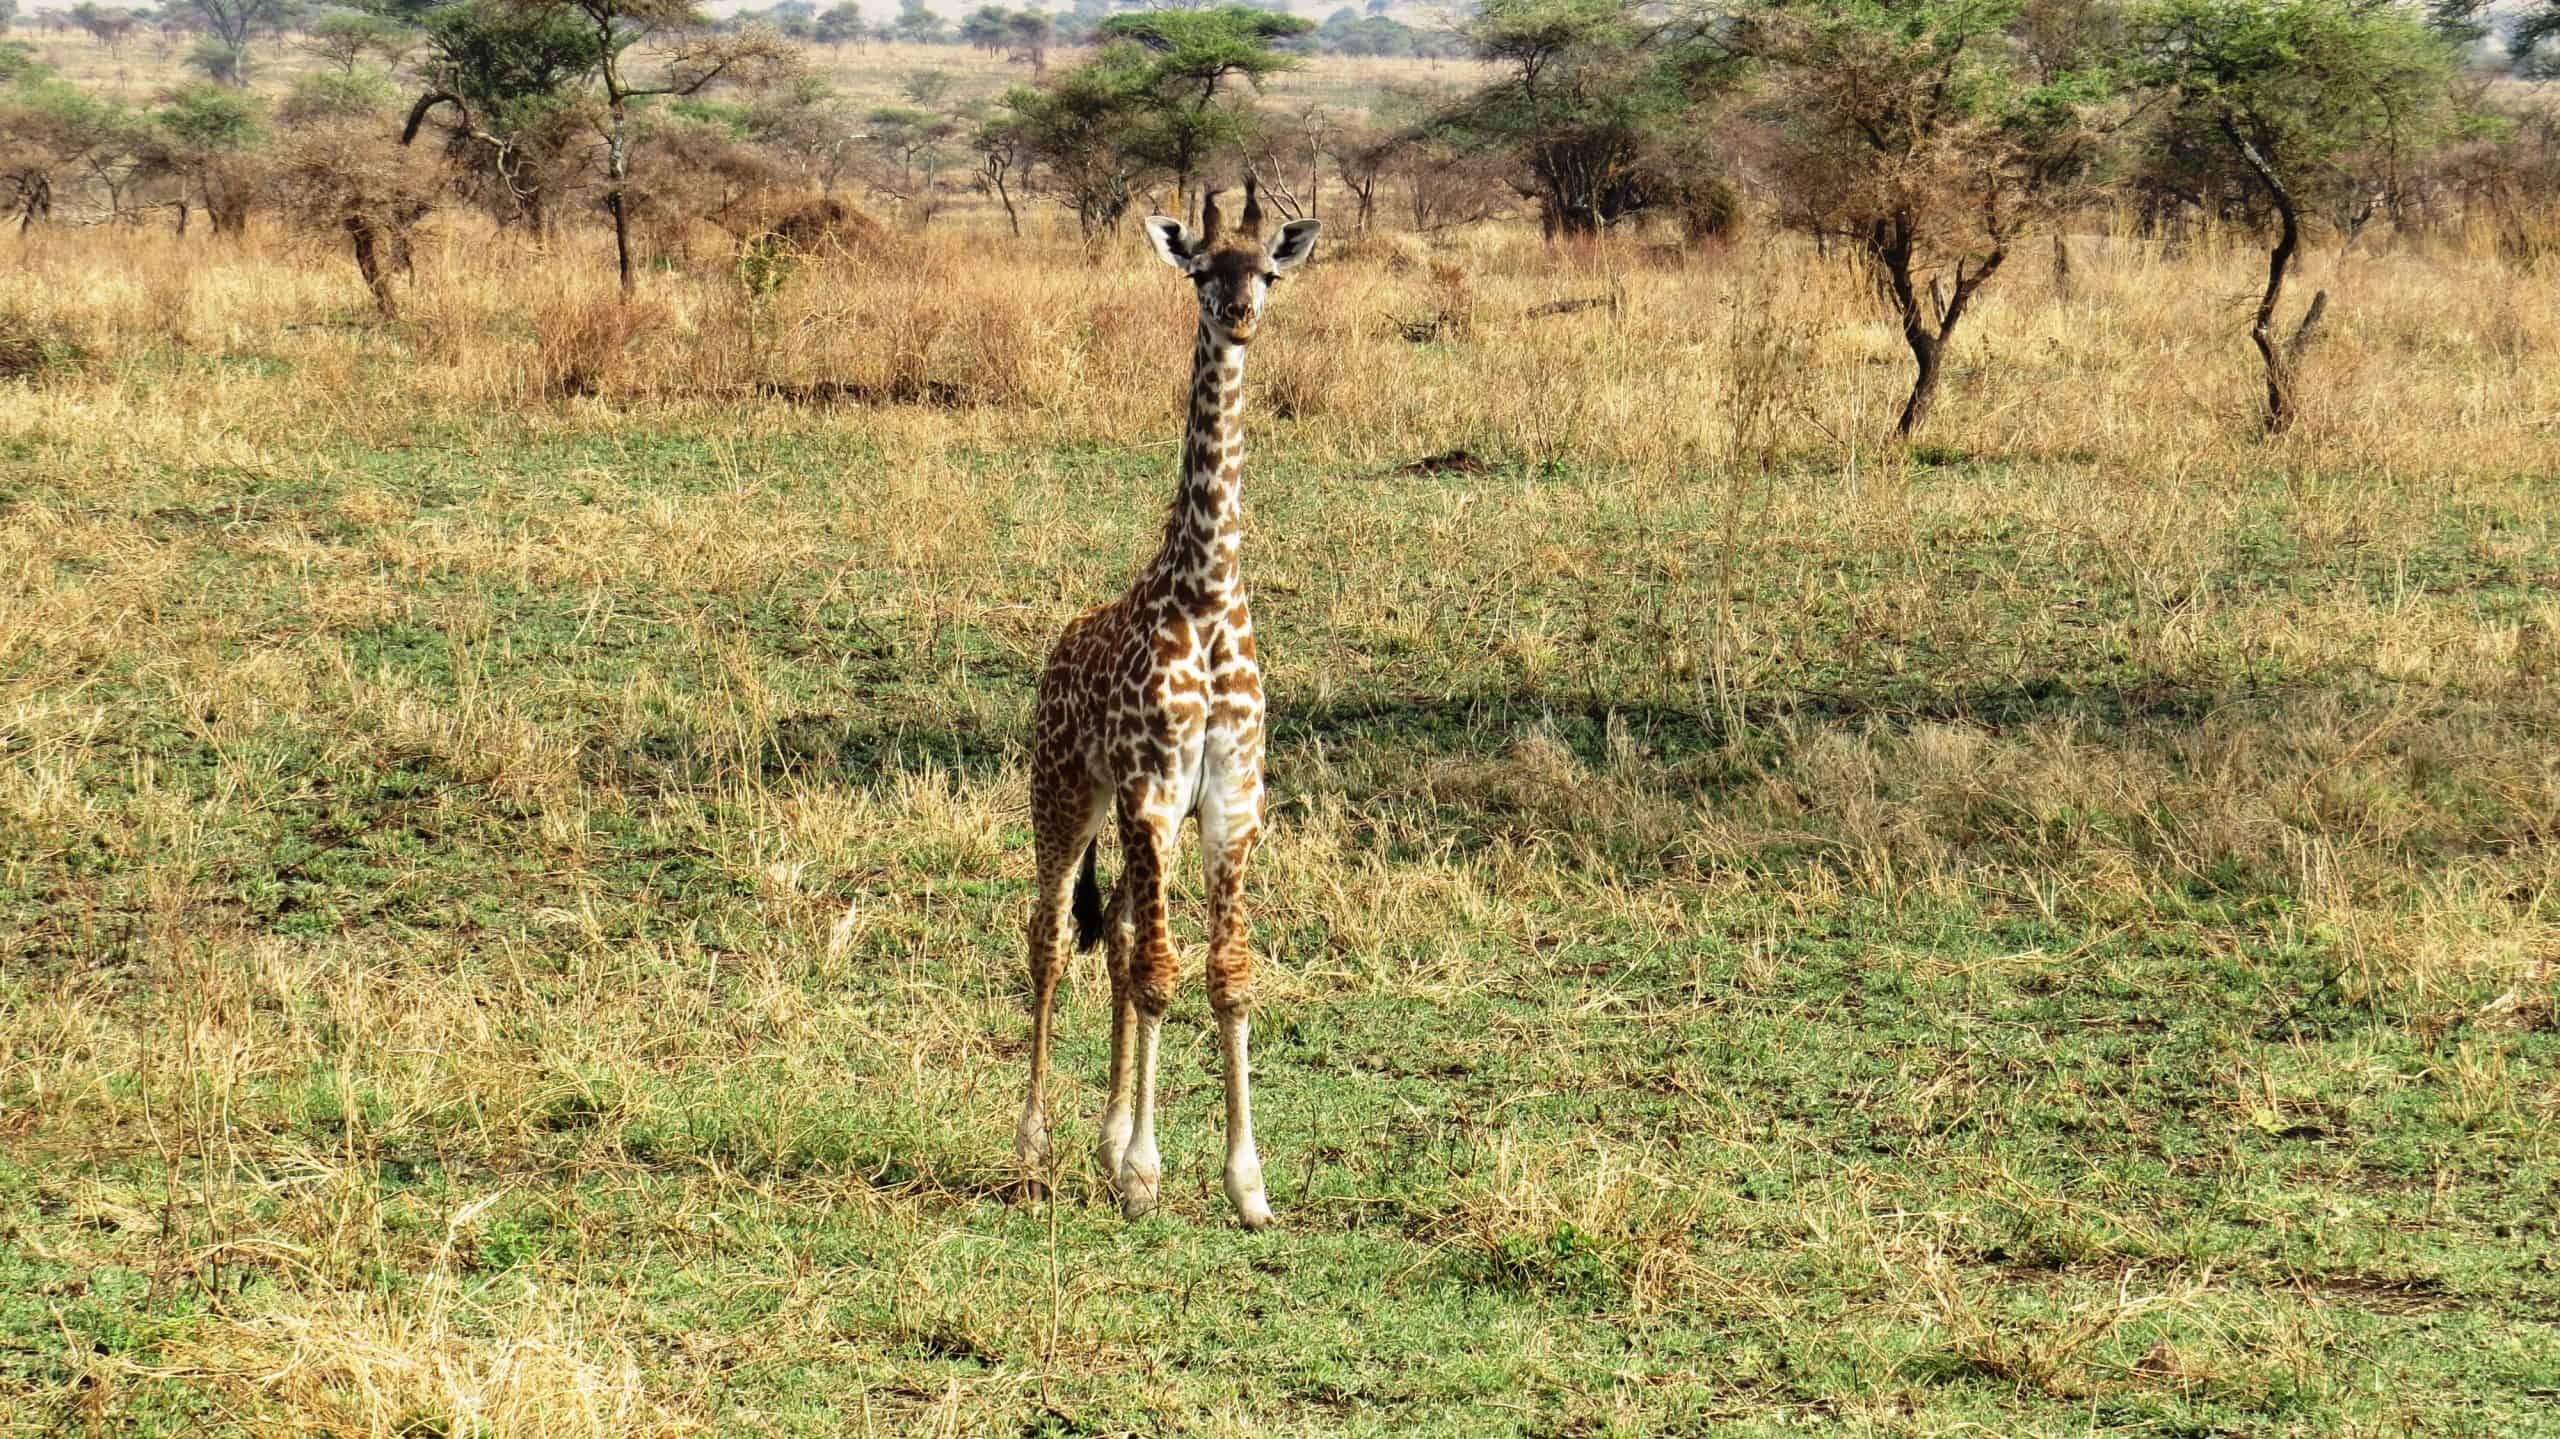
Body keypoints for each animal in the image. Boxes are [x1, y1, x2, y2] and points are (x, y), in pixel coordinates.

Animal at [1016, 185, 1320, 1229]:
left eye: (1266, 269)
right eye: (1200, 270)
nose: (1240, 315)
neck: (1208, 591)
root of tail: (1056, 651)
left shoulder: (1230, 802)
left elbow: (1224, 975)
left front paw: (1247, 1183)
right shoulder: (1150, 791)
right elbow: (1158, 976)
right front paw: (1145, 1175)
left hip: (1142, 821)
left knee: (1113, 941)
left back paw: (1102, 1139)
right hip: (1066, 794)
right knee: (1050, 939)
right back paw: (1033, 1148)